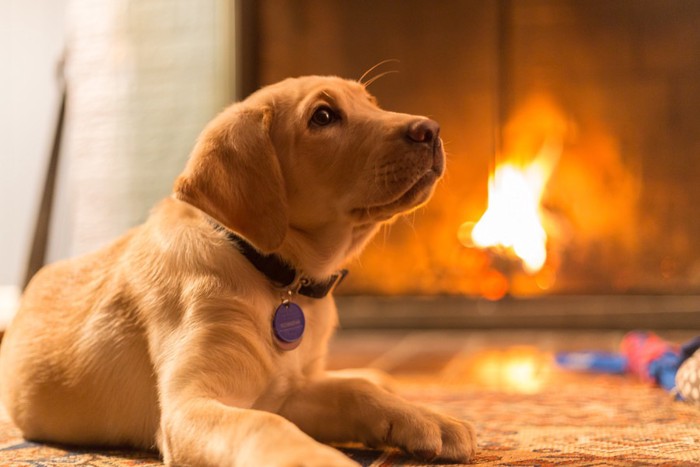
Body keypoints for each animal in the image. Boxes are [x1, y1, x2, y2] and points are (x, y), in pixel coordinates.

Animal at [0, 75, 476, 466]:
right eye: (323, 116)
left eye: (371, 103)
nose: (431, 129)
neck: (273, 274)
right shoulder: (190, 406)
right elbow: (265, 425)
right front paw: (315, 459)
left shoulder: (289, 391)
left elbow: (354, 390)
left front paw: (428, 418)